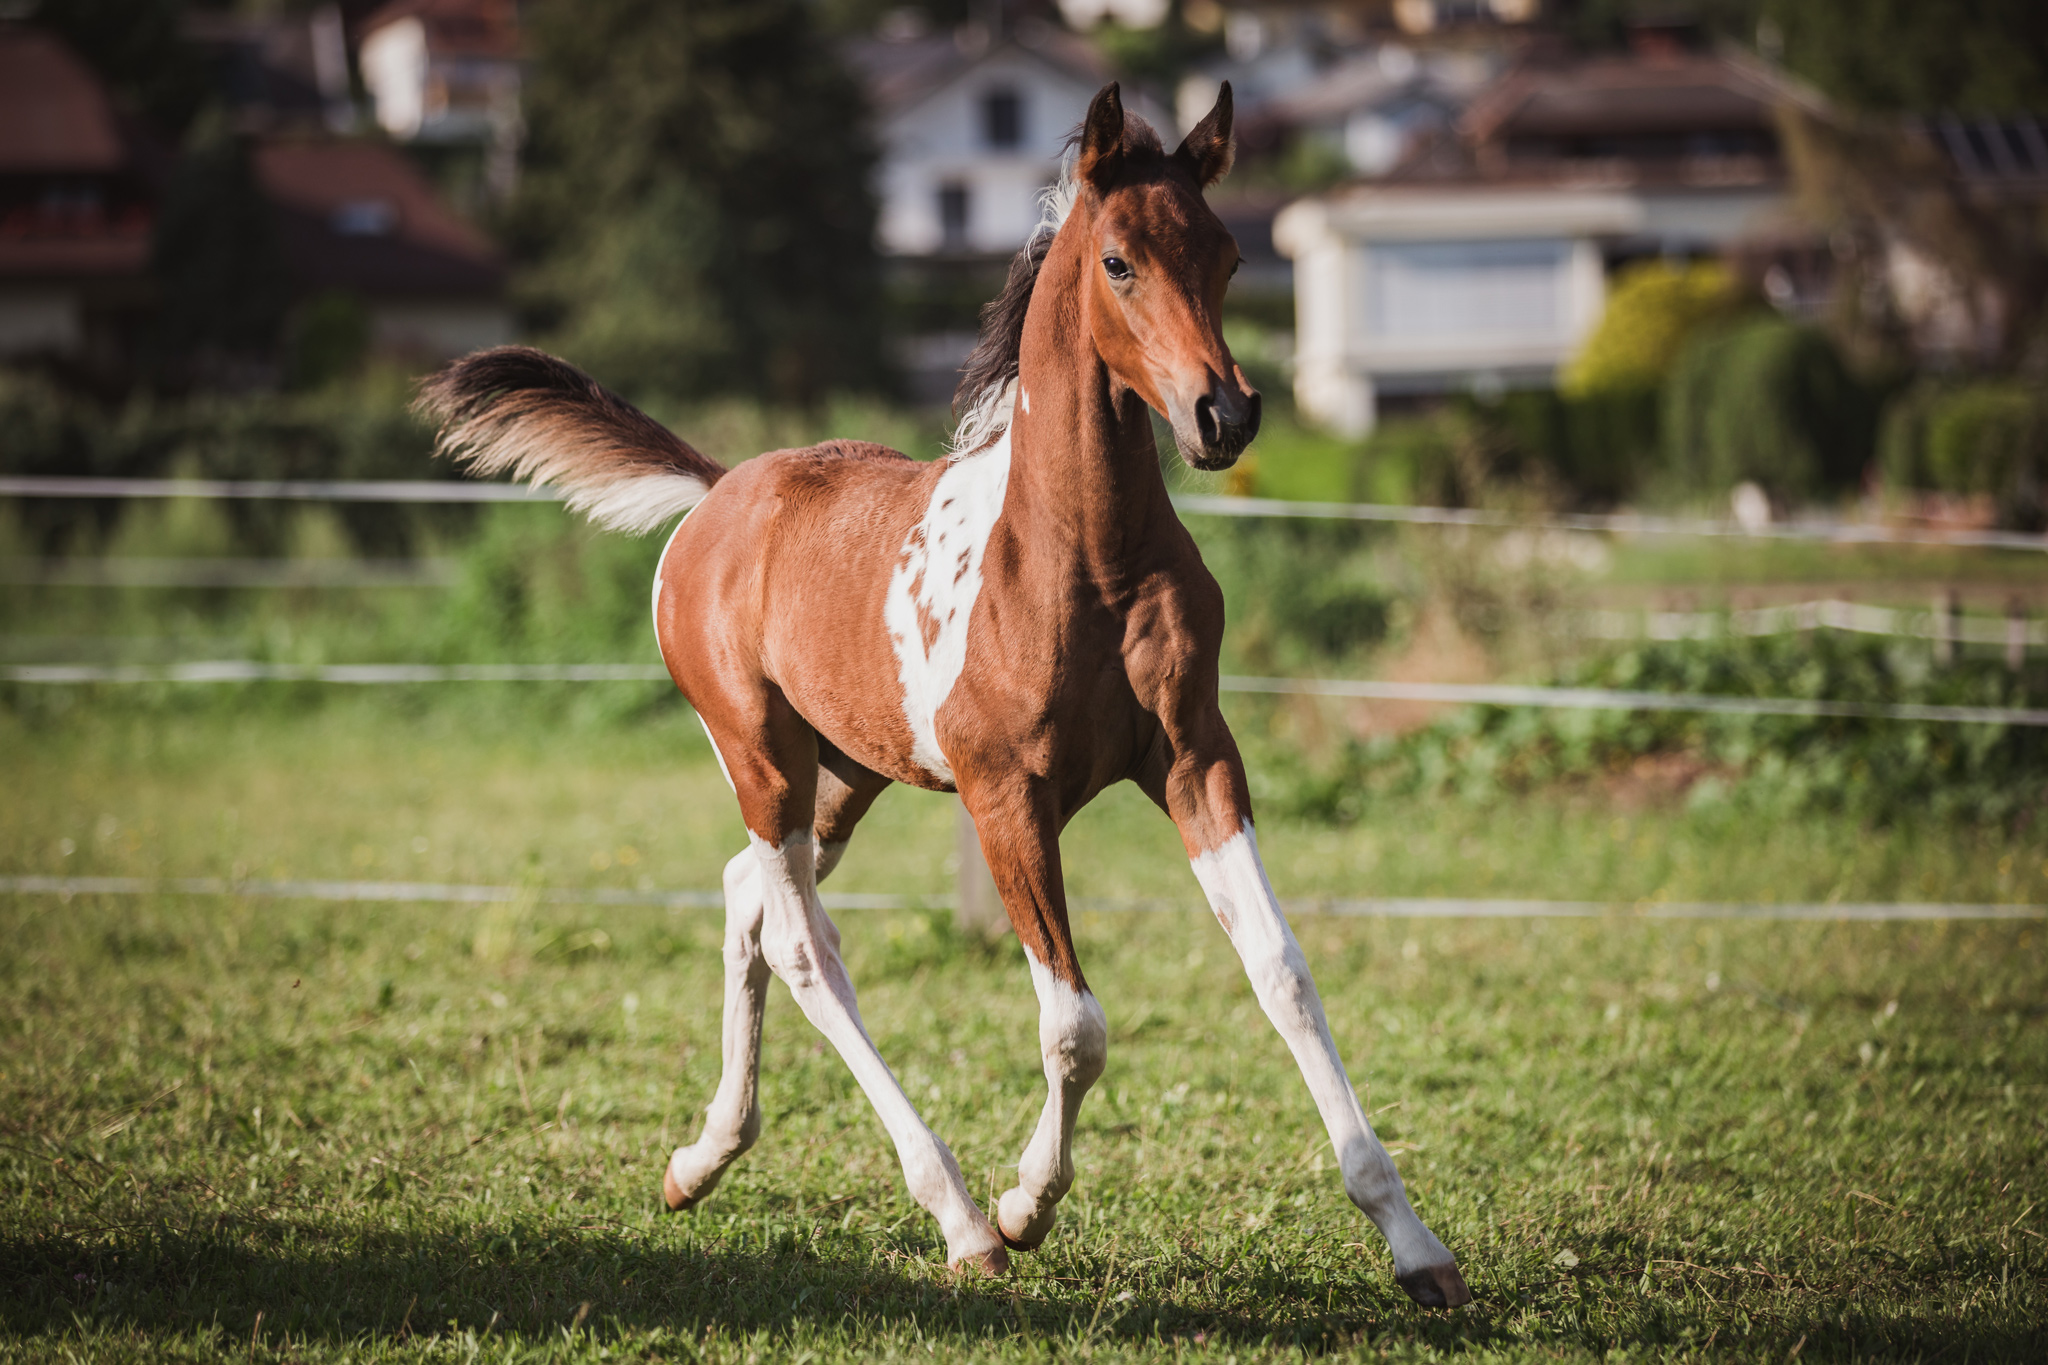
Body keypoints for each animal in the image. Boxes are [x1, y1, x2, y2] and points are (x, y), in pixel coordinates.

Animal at [419, 82, 1474, 1301]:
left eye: (1228, 256)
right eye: (1118, 261)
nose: (1225, 416)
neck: (1085, 557)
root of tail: (716, 492)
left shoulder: (1195, 758)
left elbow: (1283, 975)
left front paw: (1417, 1248)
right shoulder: (1004, 795)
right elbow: (1075, 1024)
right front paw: (1023, 1208)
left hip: (844, 774)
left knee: (744, 898)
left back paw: (701, 1159)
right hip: (759, 755)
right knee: (805, 947)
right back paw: (957, 1215)